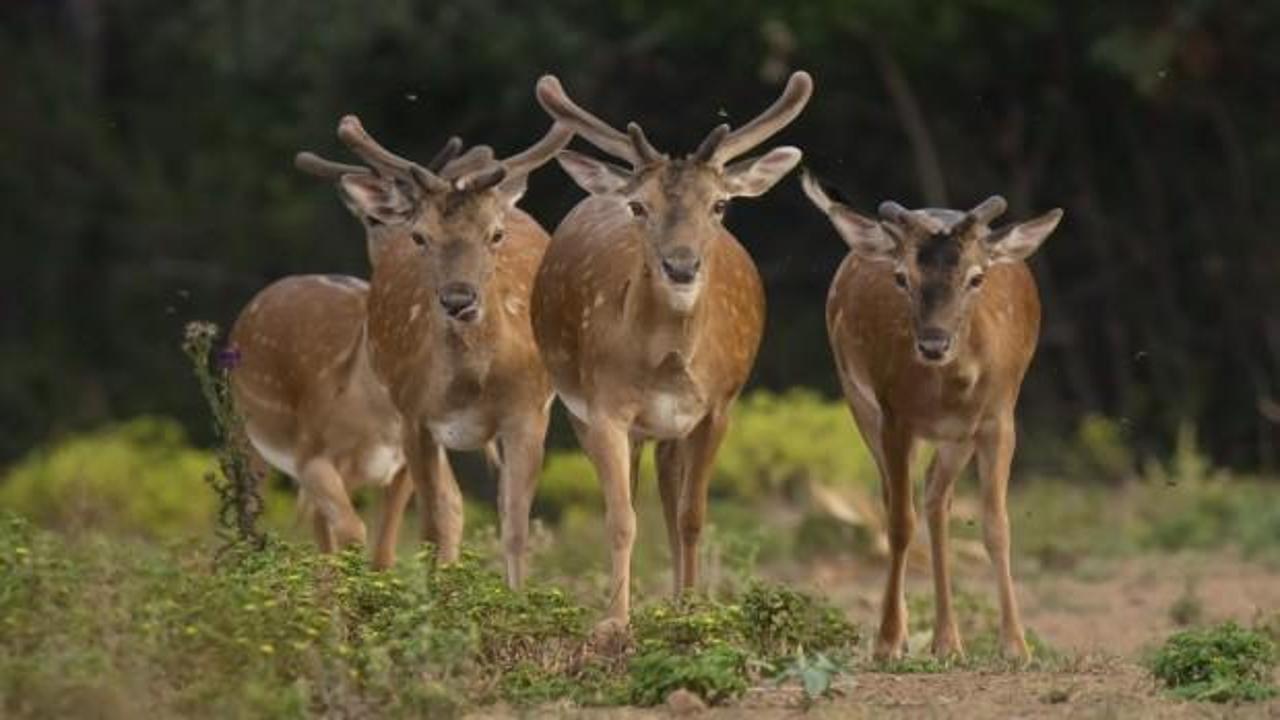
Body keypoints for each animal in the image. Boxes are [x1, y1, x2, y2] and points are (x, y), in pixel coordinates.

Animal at [296, 113, 573, 584]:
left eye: (494, 234)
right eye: (421, 237)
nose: (458, 299)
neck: (470, 386)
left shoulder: (529, 414)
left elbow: (515, 530)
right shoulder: (414, 417)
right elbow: (432, 528)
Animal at [535, 70, 814, 635]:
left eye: (720, 204)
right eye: (640, 206)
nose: (681, 266)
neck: (664, 367)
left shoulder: (718, 408)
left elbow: (692, 515)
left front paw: (694, 610)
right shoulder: (603, 407)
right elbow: (620, 517)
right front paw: (614, 623)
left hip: (671, 427)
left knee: (669, 494)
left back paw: (678, 600)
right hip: (581, 406)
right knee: (634, 490)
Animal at [798, 170, 1059, 661]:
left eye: (976, 277)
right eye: (902, 277)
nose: (934, 343)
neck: (946, 391)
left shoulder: (999, 418)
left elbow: (997, 525)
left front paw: (1016, 646)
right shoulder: (894, 415)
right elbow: (900, 522)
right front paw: (885, 641)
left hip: (958, 437)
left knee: (938, 495)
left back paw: (947, 640)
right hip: (858, 400)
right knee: (900, 499)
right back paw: (923, 638)